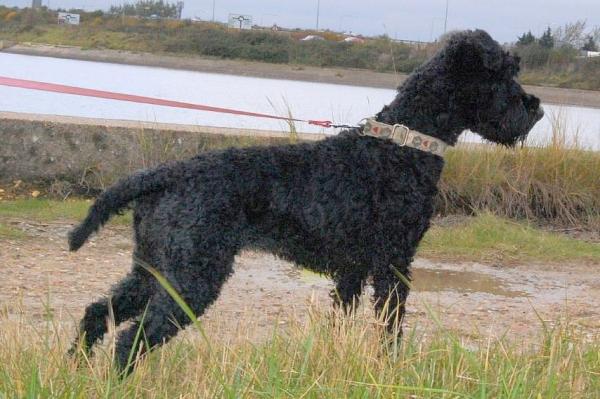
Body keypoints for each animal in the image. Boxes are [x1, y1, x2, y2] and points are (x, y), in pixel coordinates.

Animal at [68, 29, 548, 370]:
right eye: (502, 73)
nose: (537, 108)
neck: (402, 145)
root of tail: (165, 174)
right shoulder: (394, 264)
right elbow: (390, 327)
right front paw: (389, 369)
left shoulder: (353, 272)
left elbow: (341, 323)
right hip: (191, 278)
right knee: (131, 340)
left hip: (153, 270)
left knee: (96, 313)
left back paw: (75, 368)